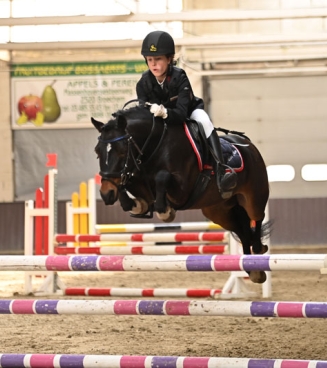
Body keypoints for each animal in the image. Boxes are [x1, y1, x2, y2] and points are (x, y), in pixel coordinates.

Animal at [93, 105, 272, 284]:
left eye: (122, 151)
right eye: (97, 151)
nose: (106, 193)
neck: (154, 146)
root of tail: (249, 145)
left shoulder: (182, 190)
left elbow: (162, 177)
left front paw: (165, 212)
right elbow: (131, 188)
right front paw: (134, 204)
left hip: (254, 196)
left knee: (256, 218)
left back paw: (258, 252)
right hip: (219, 211)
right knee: (242, 231)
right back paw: (253, 268)